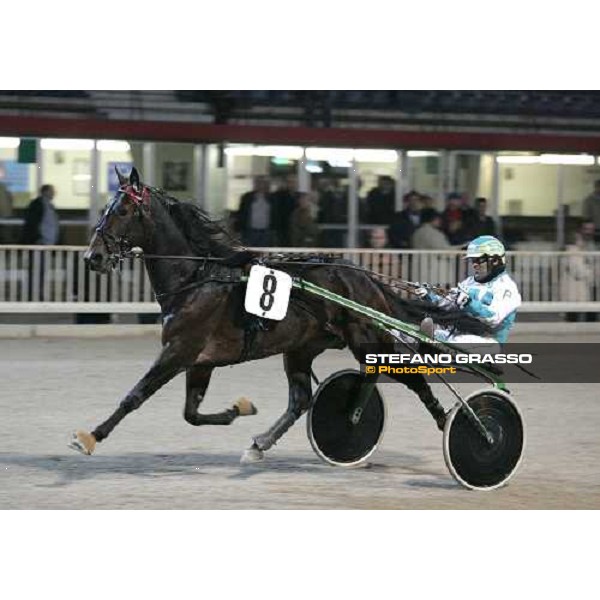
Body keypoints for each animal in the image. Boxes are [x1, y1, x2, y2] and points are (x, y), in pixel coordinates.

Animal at [71, 169, 492, 464]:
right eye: (107, 209)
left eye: (123, 210)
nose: (92, 258)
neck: (195, 278)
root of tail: (363, 275)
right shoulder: (199, 360)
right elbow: (192, 413)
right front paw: (239, 410)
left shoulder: (179, 350)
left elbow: (135, 396)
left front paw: (90, 437)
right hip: (301, 349)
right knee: (302, 399)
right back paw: (262, 443)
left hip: (370, 340)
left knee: (414, 381)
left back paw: (468, 428)